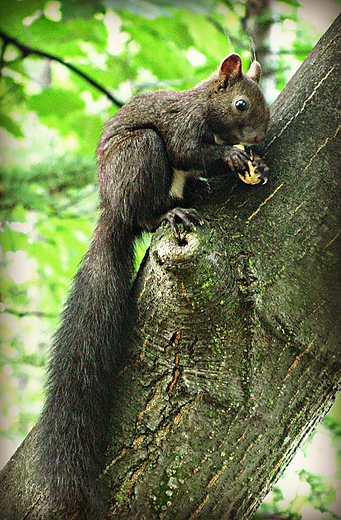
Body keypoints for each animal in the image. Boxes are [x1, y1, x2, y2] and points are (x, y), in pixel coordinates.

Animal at [34, 51, 268, 516]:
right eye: (241, 105)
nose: (259, 137)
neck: (205, 106)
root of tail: (111, 206)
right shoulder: (183, 125)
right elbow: (188, 149)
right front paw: (232, 156)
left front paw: (255, 163)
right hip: (139, 157)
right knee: (145, 212)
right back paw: (169, 213)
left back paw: (194, 193)